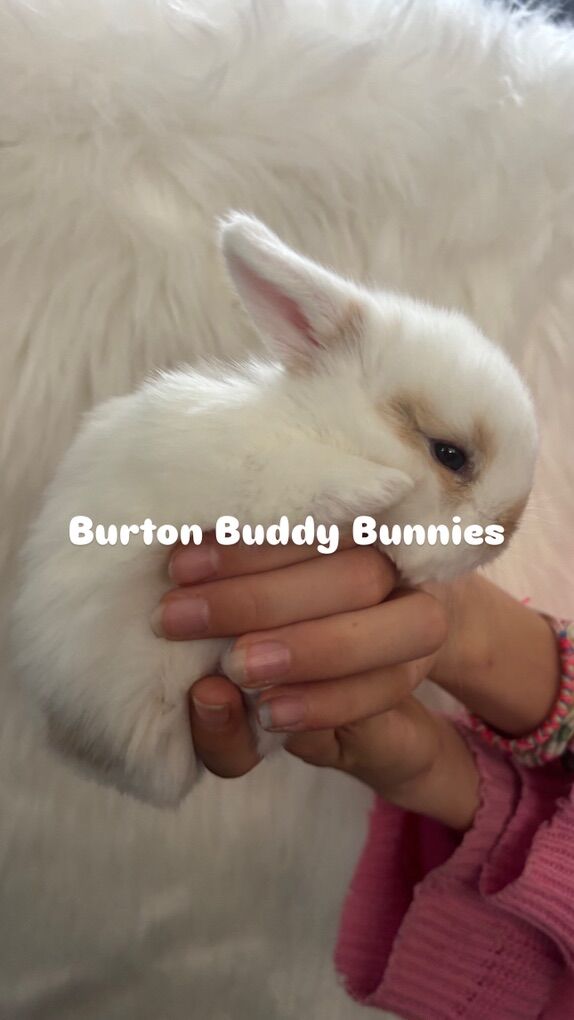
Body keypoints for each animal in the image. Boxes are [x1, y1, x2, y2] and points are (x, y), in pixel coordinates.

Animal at [12, 213, 537, 808]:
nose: (506, 529)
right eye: (449, 454)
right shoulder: (250, 472)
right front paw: (383, 484)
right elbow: (303, 479)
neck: (322, 427)